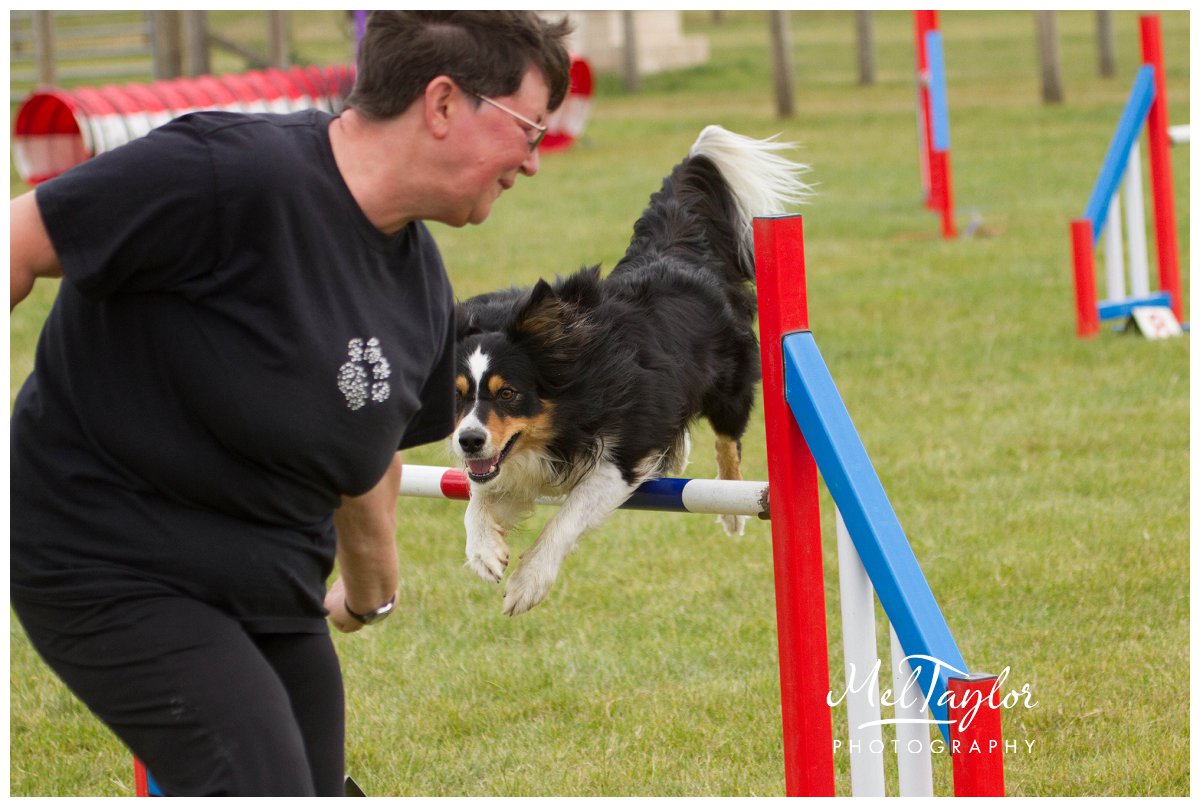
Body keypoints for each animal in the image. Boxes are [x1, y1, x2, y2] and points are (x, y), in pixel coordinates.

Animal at [451, 125, 810, 615]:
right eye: (459, 395)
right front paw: (484, 550)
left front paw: (528, 581)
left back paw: (731, 509)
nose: (466, 441)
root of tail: (675, 251)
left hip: (729, 385)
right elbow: (480, 493)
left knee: (728, 442)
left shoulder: (619, 456)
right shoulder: (516, 463)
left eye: (508, 393)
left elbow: (569, 514)